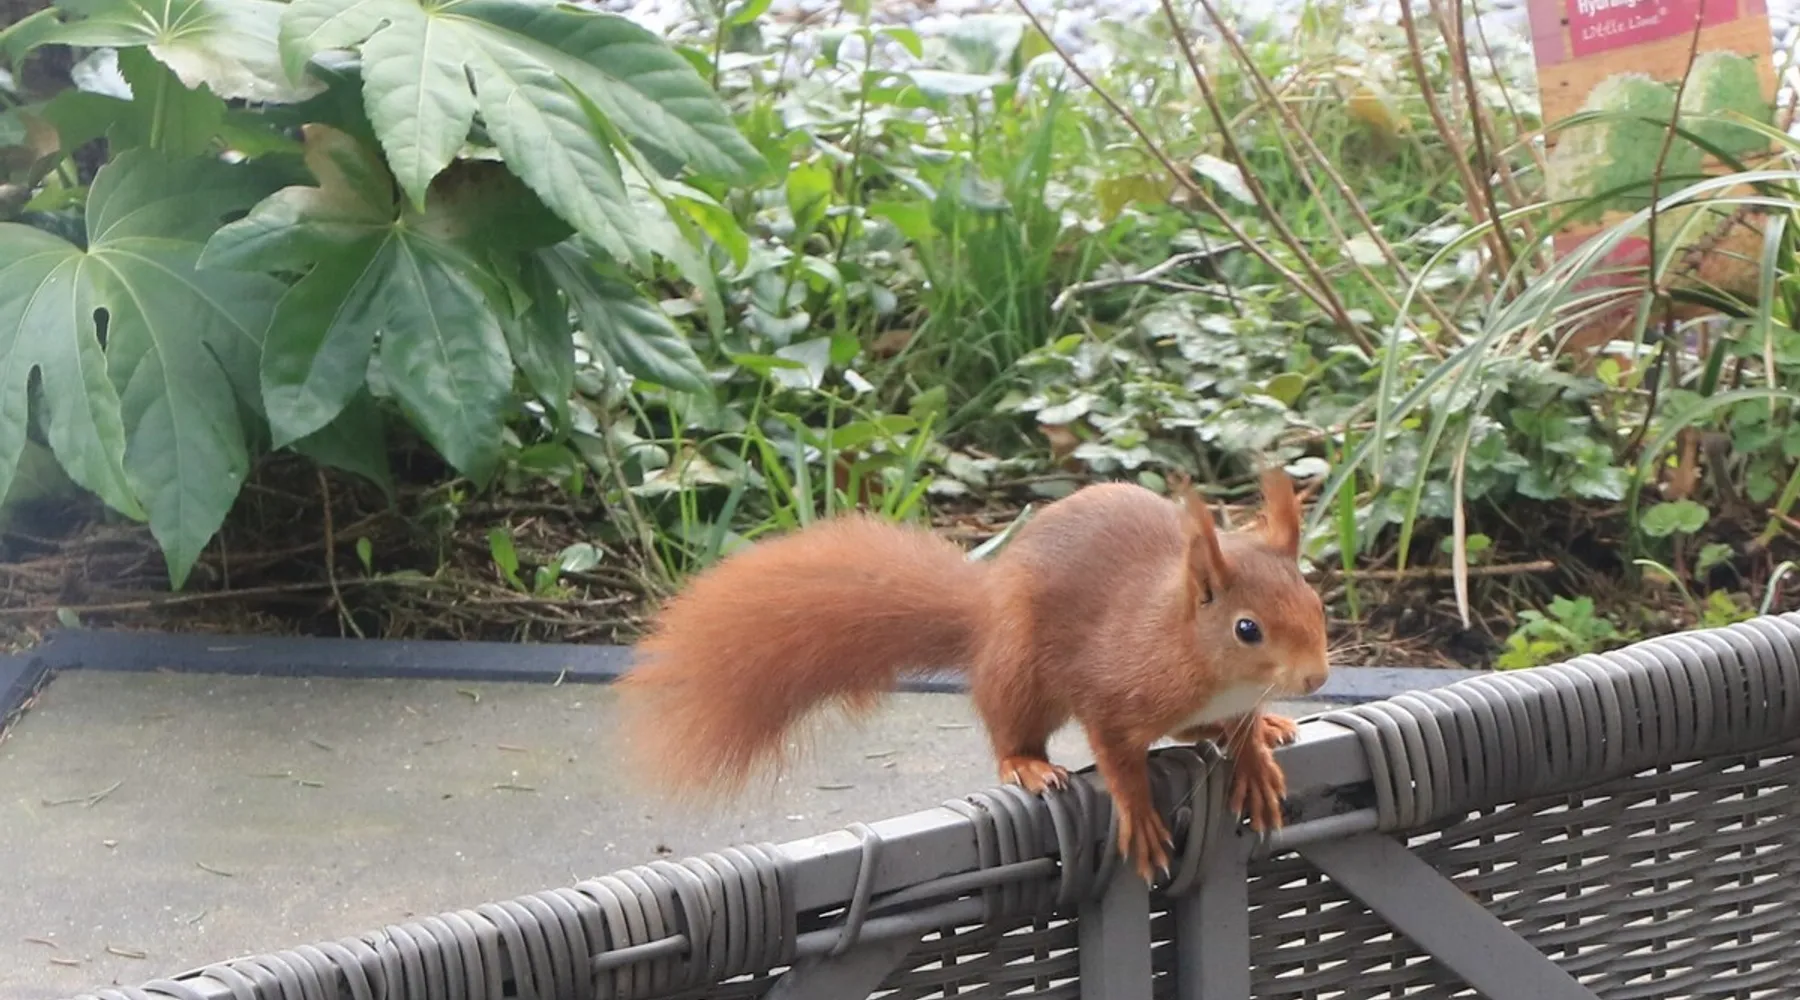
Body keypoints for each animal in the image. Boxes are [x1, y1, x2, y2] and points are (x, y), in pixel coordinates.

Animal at [615, 469, 1331, 882]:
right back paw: (1028, 765)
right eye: (1247, 629)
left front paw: (1254, 761)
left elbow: (1236, 730)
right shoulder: (1110, 689)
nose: (1318, 678)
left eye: (1317, 600)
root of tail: (984, 613)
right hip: (1018, 673)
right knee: (1011, 729)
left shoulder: (1225, 701)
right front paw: (1140, 815)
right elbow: (1118, 759)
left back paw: (1269, 724)